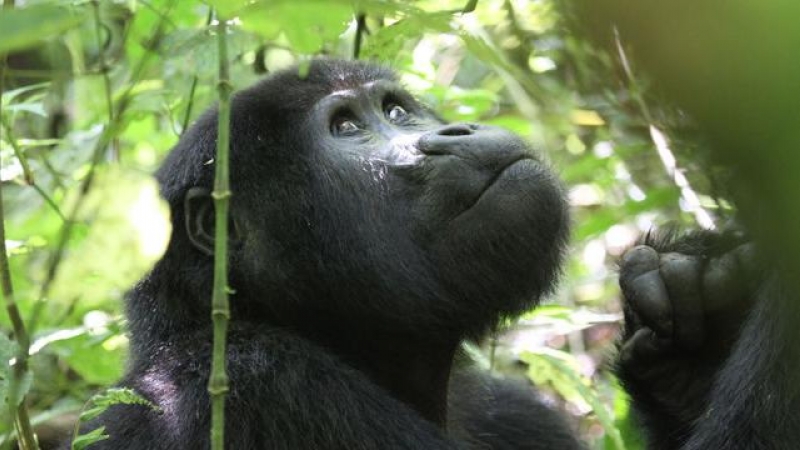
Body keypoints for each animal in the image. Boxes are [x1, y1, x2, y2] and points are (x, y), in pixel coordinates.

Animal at [64, 60, 780, 450]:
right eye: (347, 127)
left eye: (397, 110)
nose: (453, 129)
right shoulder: (254, 382)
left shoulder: (507, 410)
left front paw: (691, 322)